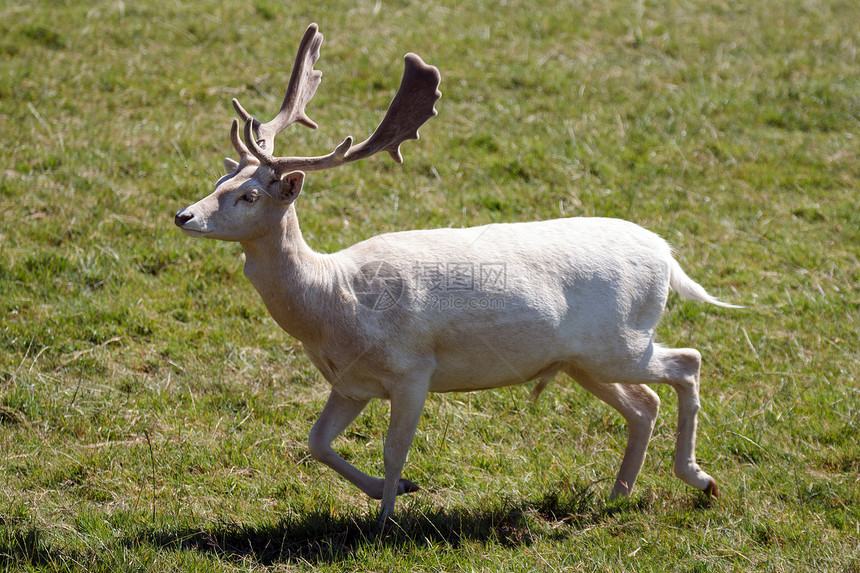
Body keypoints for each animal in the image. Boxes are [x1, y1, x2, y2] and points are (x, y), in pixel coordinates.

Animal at [176, 22, 740, 524]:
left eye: (249, 195)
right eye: (220, 179)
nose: (183, 216)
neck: (334, 305)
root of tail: (667, 255)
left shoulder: (412, 369)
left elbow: (392, 449)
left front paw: (386, 522)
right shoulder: (352, 382)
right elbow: (317, 443)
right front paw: (396, 491)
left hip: (620, 341)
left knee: (687, 362)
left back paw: (700, 480)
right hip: (584, 359)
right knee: (644, 404)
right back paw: (618, 495)